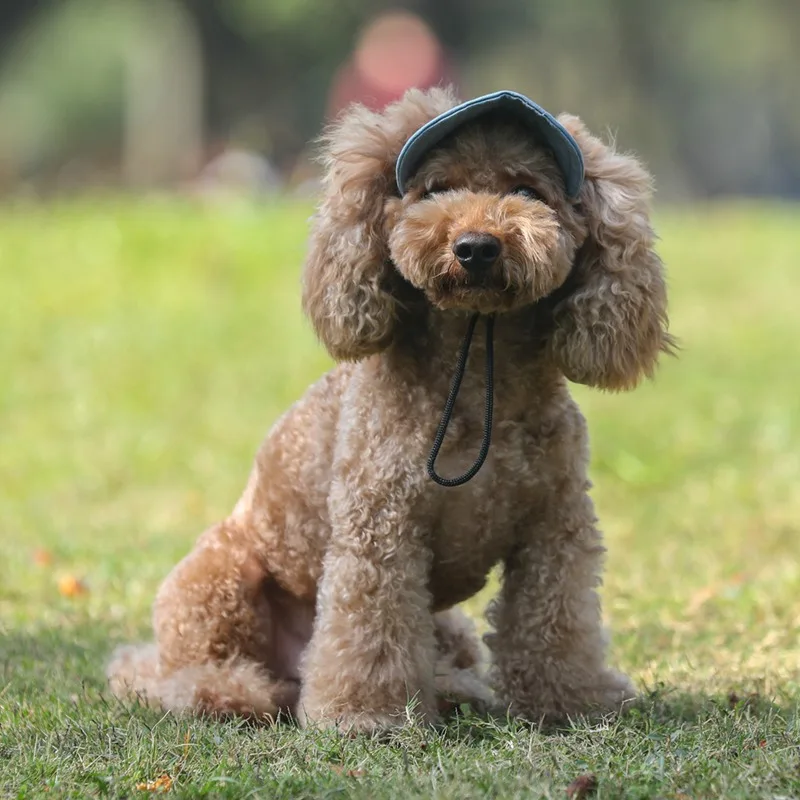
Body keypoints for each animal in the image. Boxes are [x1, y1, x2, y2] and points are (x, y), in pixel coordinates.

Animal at [106, 87, 668, 732]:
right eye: (436, 188)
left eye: (528, 190)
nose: (476, 247)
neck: (477, 367)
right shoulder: (380, 529)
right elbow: (371, 631)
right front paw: (365, 717)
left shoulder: (555, 528)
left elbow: (555, 623)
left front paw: (570, 703)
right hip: (216, 582)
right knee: (164, 676)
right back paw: (236, 692)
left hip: (446, 624)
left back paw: (452, 692)